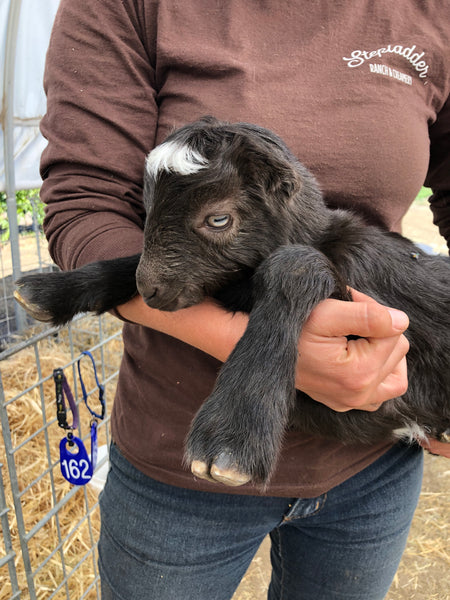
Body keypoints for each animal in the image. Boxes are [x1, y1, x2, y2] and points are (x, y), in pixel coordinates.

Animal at [14, 117, 450, 488]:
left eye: (218, 219)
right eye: (147, 209)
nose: (151, 290)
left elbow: (294, 265)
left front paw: (233, 436)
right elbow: (126, 263)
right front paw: (50, 291)